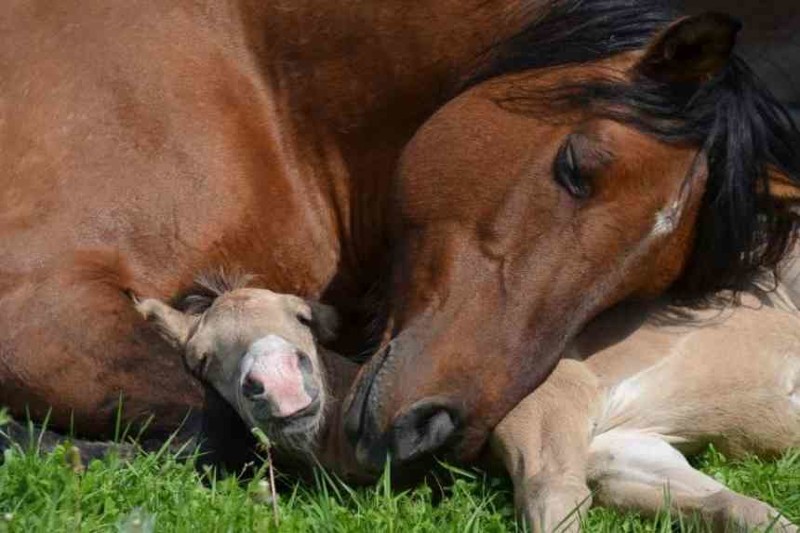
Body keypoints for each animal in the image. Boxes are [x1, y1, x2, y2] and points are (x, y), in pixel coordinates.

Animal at [0, 1, 796, 474]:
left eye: (643, 286)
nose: (430, 430)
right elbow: (226, 418)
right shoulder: (40, 314)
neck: (252, 74)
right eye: (576, 167)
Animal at [138, 280, 800, 528]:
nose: (279, 386)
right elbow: (737, 507)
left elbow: (551, 497)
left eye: (301, 318)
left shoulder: (551, 402)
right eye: (201, 358)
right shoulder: (620, 451)